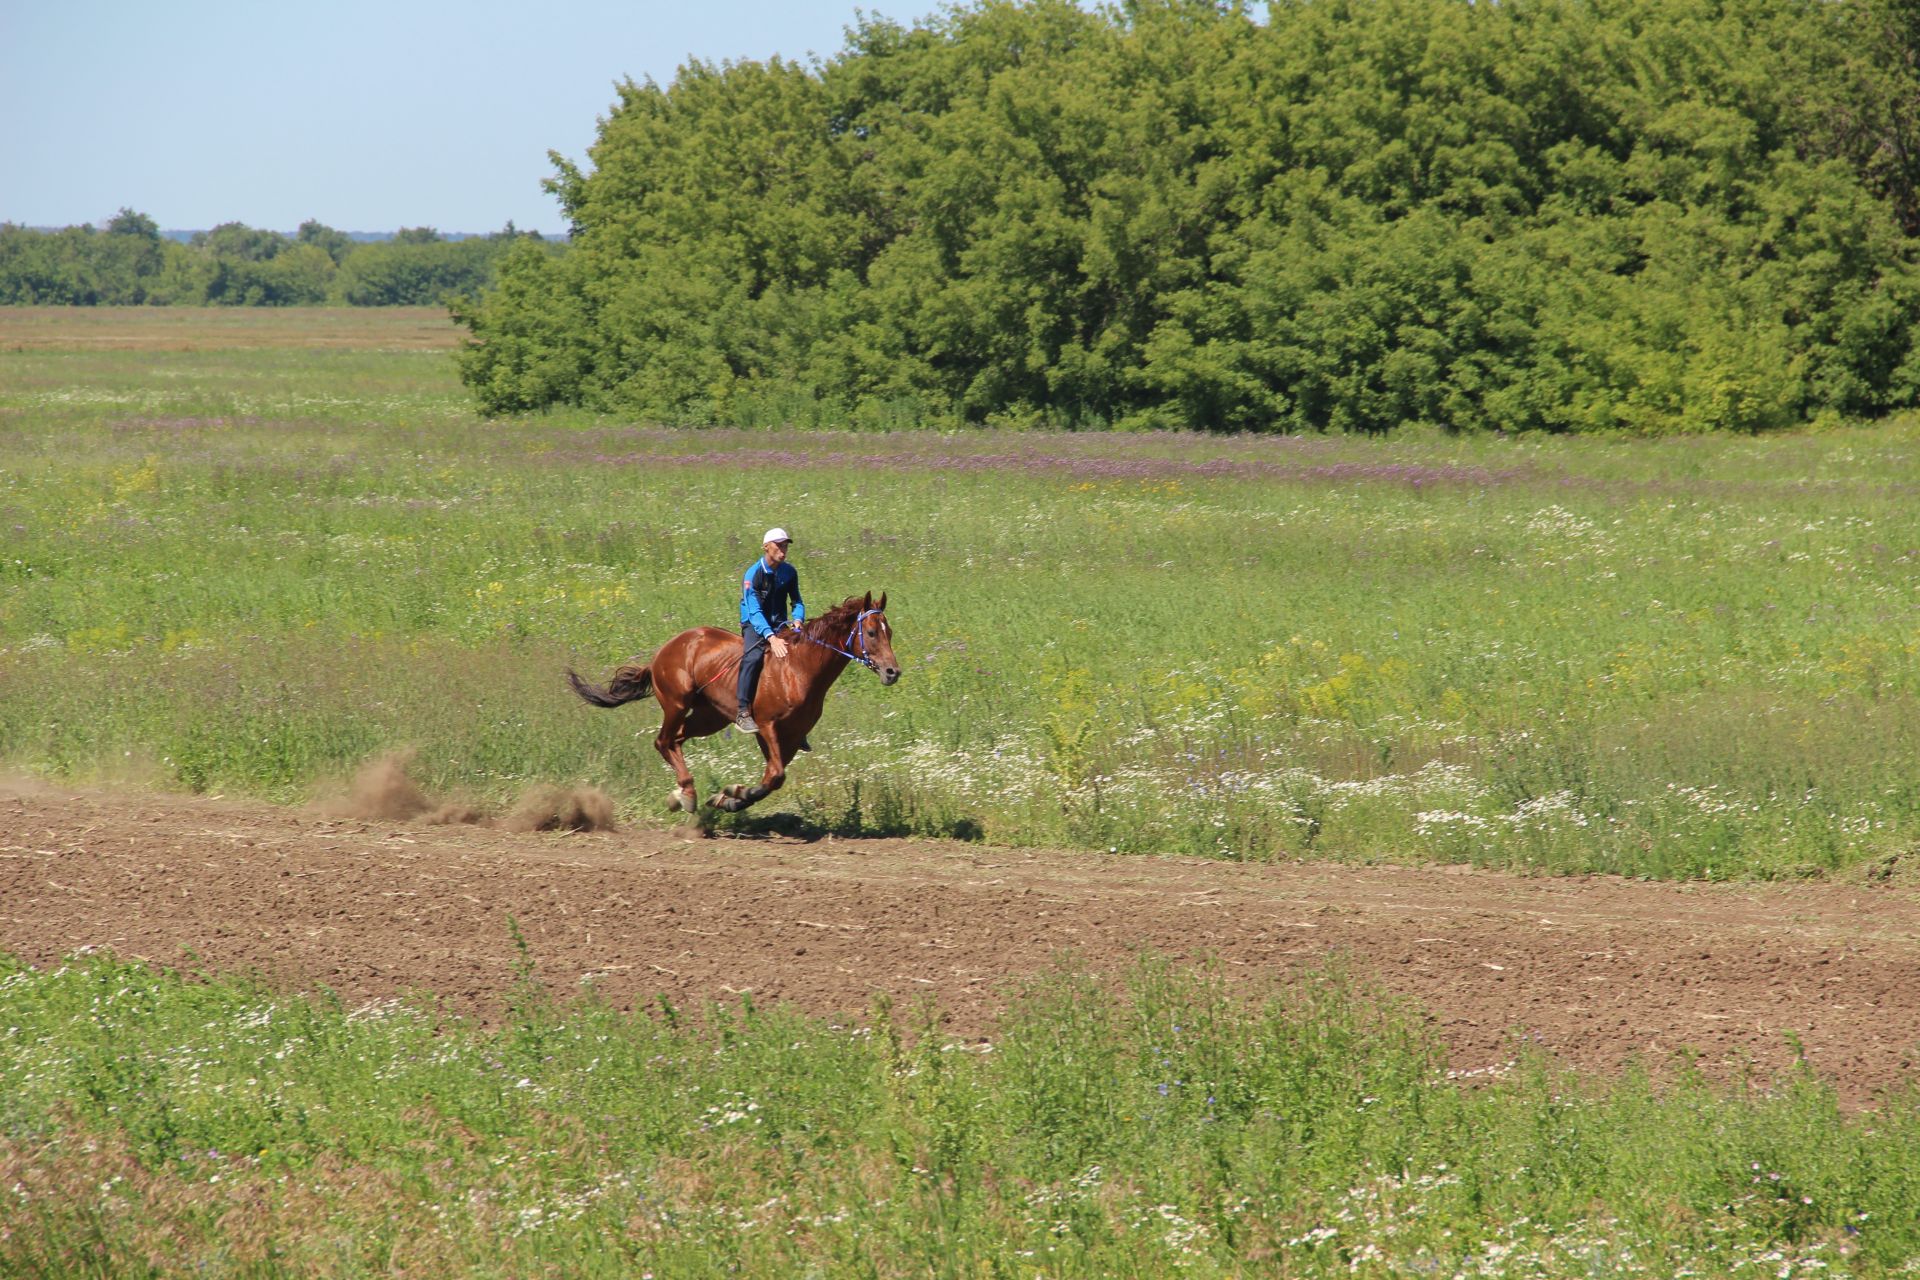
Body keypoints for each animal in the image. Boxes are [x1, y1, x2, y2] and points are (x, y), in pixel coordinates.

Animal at [564, 594, 902, 817]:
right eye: (872, 632)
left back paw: (681, 794)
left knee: (676, 740)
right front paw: (731, 796)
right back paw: (686, 793)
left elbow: (772, 779)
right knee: (663, 741)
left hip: (709, 717)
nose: (892, 672)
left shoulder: (792, 737)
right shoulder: (766, 726)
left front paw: (728, 797)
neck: (799, 668)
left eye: (890, 632)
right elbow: (776, 775)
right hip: (676, 703)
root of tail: (663, 651)